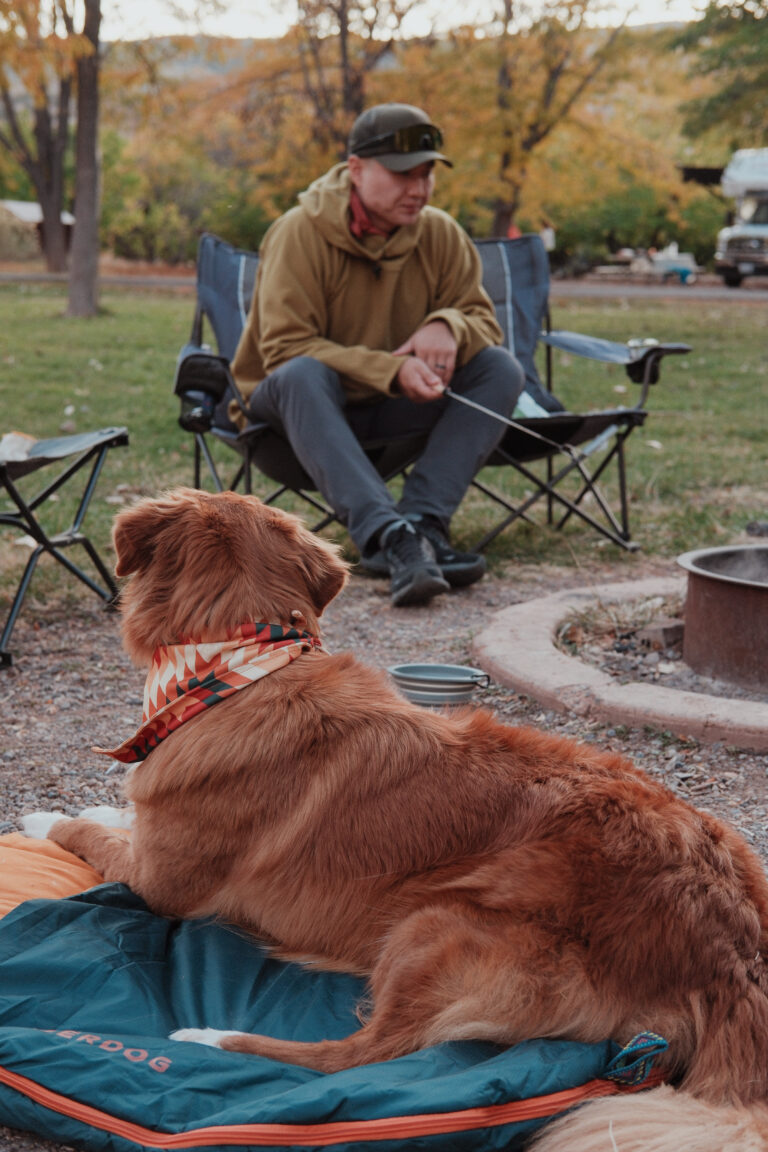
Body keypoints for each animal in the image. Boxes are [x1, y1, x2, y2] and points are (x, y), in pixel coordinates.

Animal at [40, 488, 768, 1152]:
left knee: (363, 1056)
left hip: (432, 924)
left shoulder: (161, 883)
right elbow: (115, 818)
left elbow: (93, 834)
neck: (240, 667)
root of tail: (734, 952)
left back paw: (212, 1039)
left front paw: (48, 817)